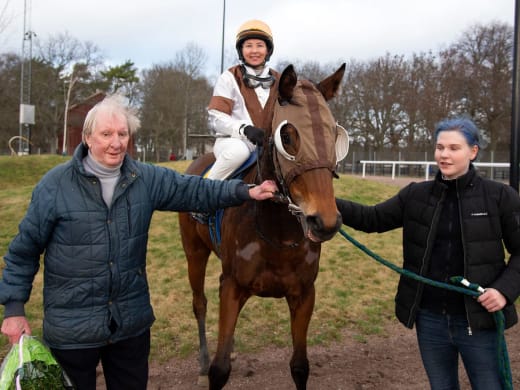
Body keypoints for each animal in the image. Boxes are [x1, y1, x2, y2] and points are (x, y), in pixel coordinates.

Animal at [181, 62, 348, 388]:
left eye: (334, 135)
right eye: (288, 137)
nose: (325, 221)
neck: (277, 234)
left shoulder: (304, 293)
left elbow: (300, 366)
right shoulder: (231, 286)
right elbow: (219, 370)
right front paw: (214, 362)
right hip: (194, 253)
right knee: (199, 304)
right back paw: (203, 359)